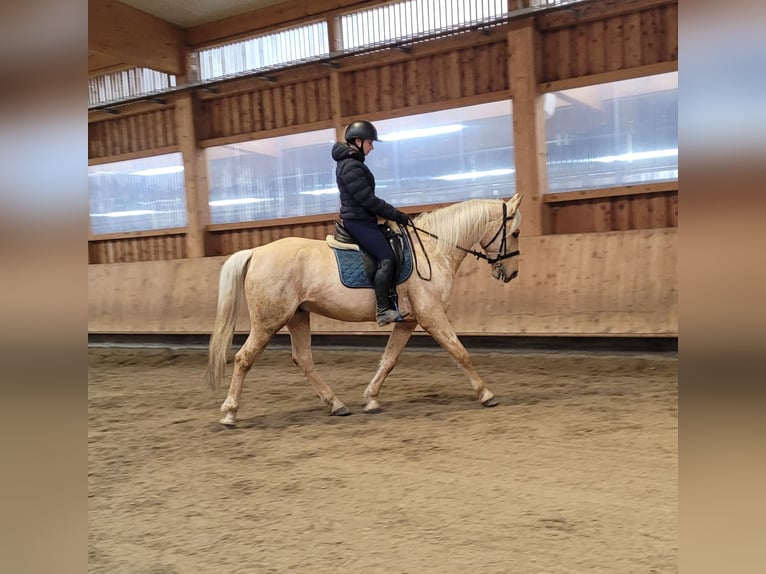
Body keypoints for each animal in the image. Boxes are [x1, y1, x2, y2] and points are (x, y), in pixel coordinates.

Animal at [204, 193, 523, 426]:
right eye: (516, 233)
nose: (512, 274)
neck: (433, 251)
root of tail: (256, 251)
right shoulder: (431, 315)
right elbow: (460, 352)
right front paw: (486, 394)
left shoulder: (408, 321)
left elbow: (389, 359)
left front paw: (371, 398)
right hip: (269, 321)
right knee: (244, 358)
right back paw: (230, 412)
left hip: (297, 316)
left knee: (303, 358)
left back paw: (337, 404)